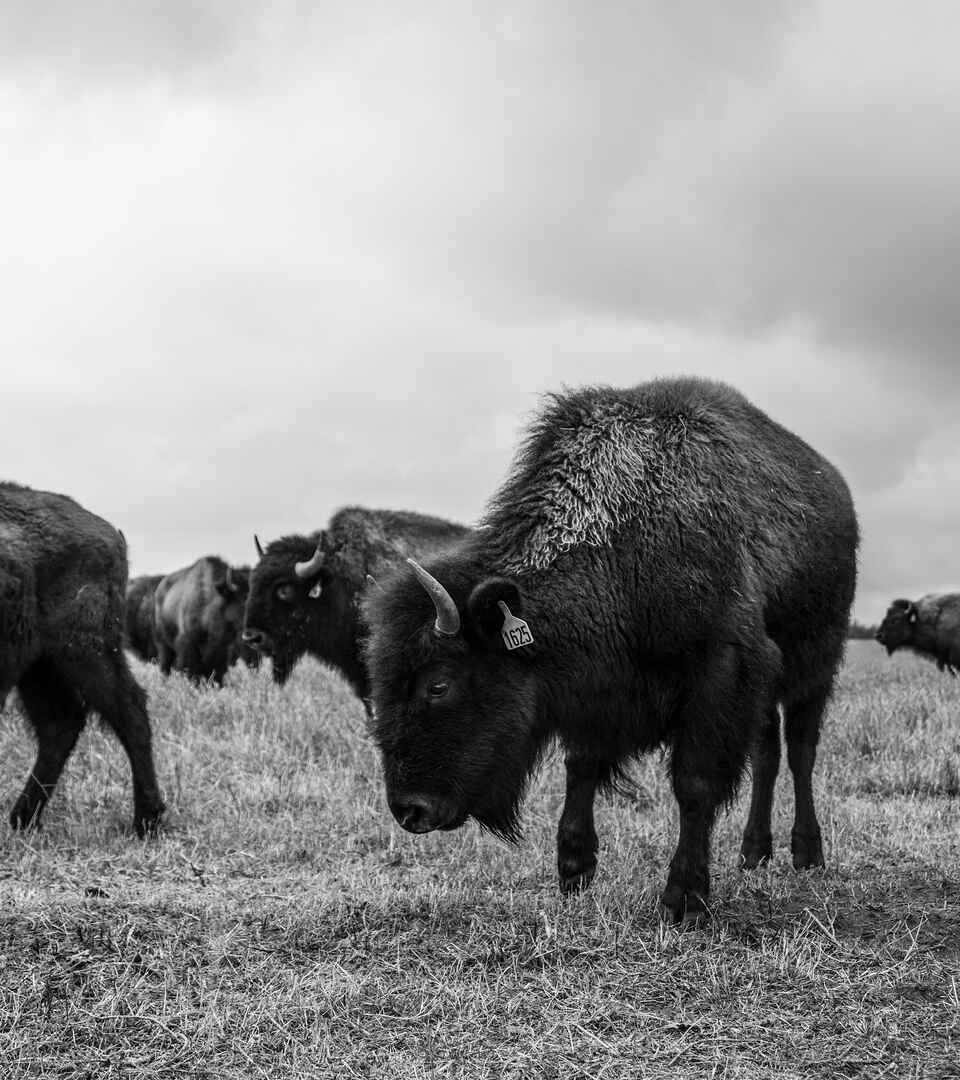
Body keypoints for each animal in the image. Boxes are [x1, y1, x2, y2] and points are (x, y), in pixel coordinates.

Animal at [0, 482, 165, 834]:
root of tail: (111, 533)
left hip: (82, 652)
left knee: (129, 710)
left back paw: (146, 820)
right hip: (38, 668)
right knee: (60, 725)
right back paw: (23, 818)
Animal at [364, 378, 859, 923]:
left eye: (438, 684)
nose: (409, 810)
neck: (623, 539)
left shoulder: (718, 676)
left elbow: (694, 785)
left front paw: (684, 898)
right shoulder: (596, 692)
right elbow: (580, 767)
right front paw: (574, 871)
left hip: (816, 664)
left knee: (800, 751)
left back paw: (807, 853)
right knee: (767, 754)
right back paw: (754, 852)